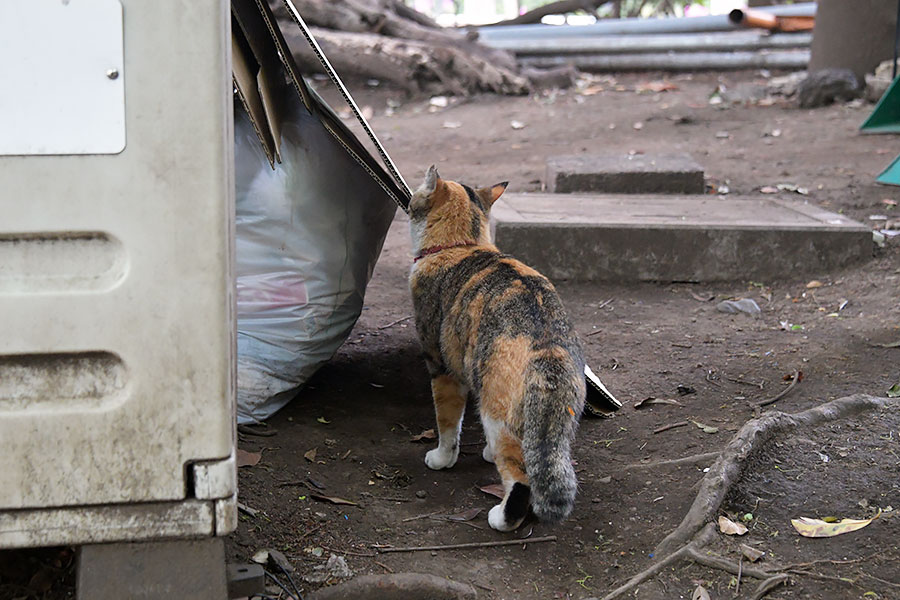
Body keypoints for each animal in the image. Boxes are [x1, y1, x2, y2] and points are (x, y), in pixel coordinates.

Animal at [410, 164, 592, 528]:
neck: (463, 245)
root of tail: (547, 347)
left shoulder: (444, 368)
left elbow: (448, 422)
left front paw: (442, 457)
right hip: (558, 421)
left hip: (495, 414)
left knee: (520, 478)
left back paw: (502, 516)